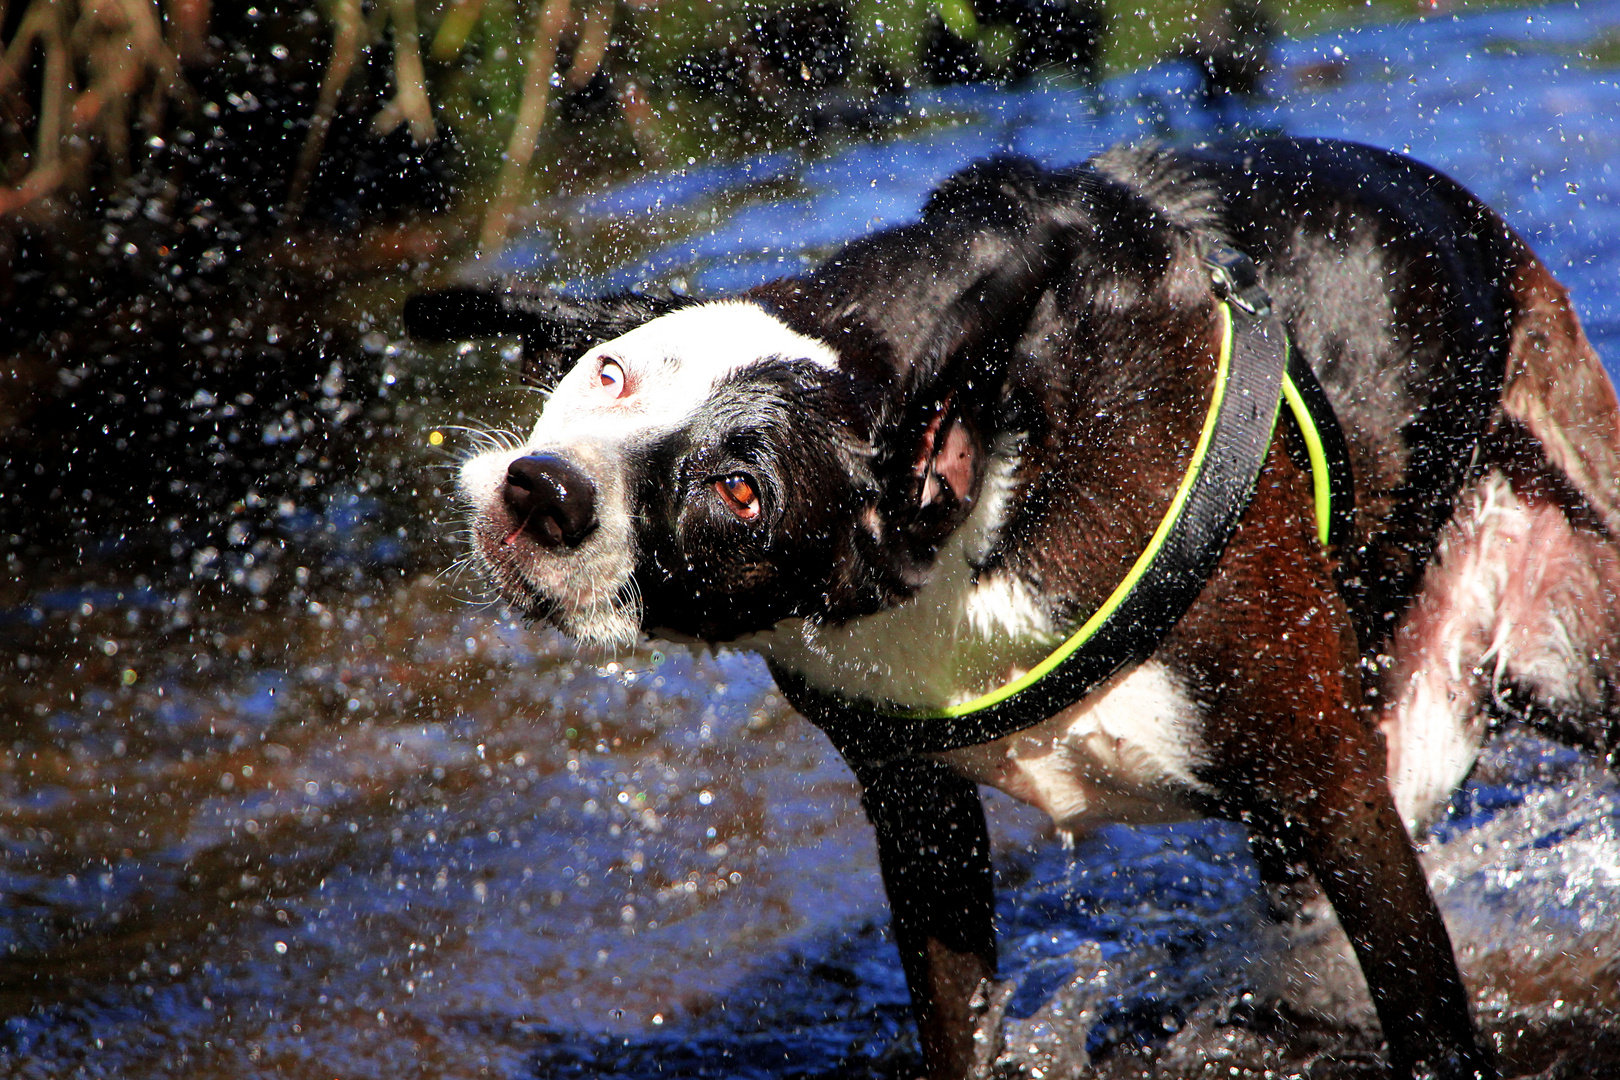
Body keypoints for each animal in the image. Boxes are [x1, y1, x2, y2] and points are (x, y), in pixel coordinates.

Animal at [405, 137, 1620, 1080]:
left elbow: (1429, 1020)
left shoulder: (1332, 792)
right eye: (608, 375)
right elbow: (958, 1022)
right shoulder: (921, 824)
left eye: (739, 492)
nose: (545, 489)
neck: (984, 501)